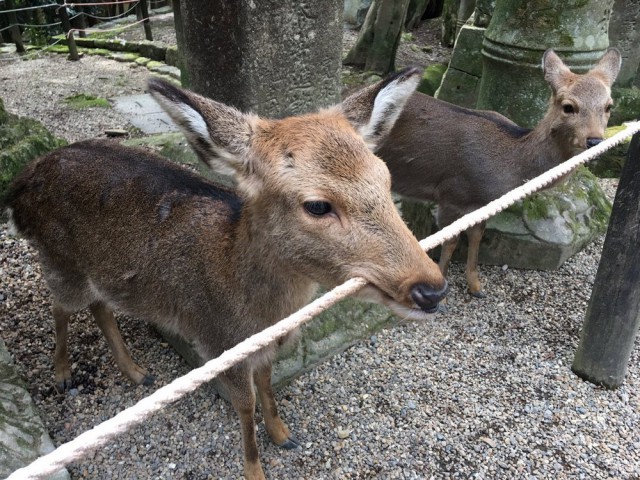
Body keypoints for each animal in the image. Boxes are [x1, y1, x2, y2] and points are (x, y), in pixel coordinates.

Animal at [5, 68, 448, 480]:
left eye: (386, 179)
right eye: (318, 205)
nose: (431, 289)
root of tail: (19, 184)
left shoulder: (263, 346)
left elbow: (268, 382)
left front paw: (284, 434)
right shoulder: (219, 342)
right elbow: (245, 404)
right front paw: (255, 469)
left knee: (100, 305)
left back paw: (135, 372)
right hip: (59, 259)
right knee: (60, 305)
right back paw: (63, 373)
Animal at [376, 47, 620, 298]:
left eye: (609, 106)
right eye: (568, 106)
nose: (594, 140)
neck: (507, 168)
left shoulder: (482, 205)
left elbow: (477, 235)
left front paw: (476, 287)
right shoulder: (451, 194)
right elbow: (450, 241)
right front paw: (441, 295)